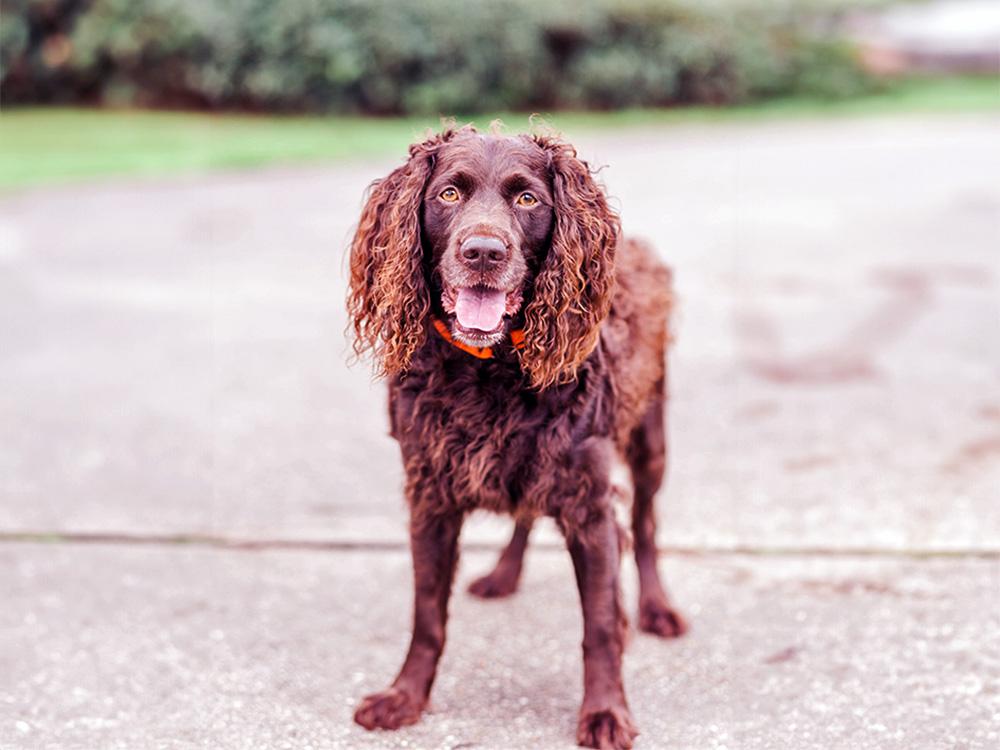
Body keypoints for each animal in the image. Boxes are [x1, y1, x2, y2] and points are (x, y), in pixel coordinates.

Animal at [348, 126, 684, 748]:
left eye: (528, 199)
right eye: (449, 193)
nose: (484, 252)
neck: (489, 368)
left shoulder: (590, 506)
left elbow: (601, 623)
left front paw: (605, 713)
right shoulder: (429, 497)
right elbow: (426, 614)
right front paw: (405, 697)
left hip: (651, 436)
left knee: (646, 525)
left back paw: (656, 609)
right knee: (527, 517)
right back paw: (504, 574)